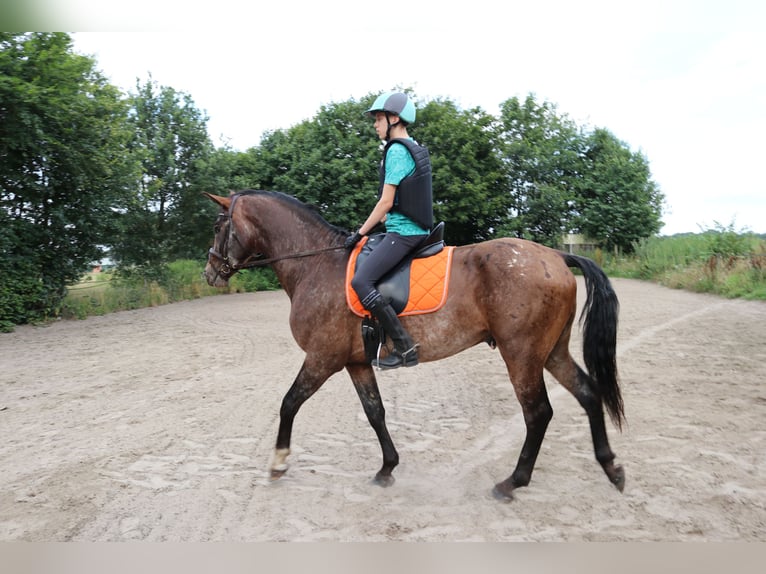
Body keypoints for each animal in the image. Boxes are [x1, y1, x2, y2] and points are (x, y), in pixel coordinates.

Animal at [206, 191, 632, 502]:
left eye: (217, 225)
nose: (210, 272)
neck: (317, 265)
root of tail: (556, 255)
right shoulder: (355, 362)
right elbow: (375, 413)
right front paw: (387, 469)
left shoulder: (322, 358)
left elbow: (289, 402)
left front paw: (278, 463)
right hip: (551, 352)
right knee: (588, 393)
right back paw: (611, 468)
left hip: (522, 356)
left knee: (538, 413)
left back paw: (512, 482)